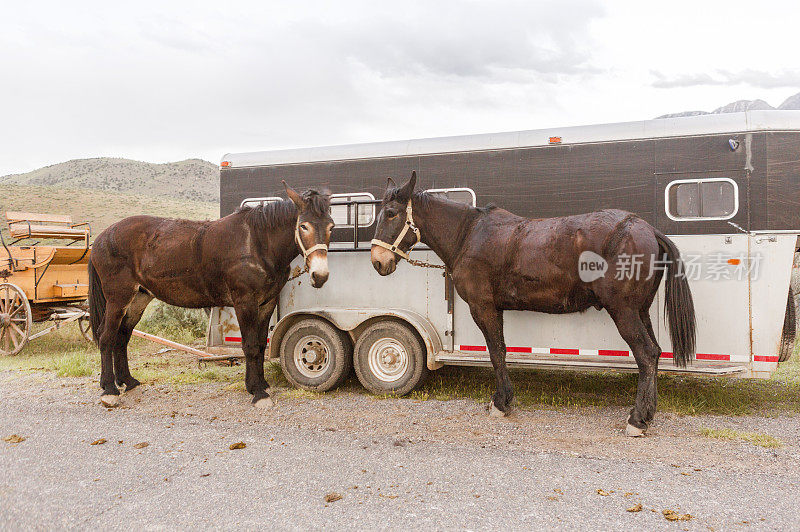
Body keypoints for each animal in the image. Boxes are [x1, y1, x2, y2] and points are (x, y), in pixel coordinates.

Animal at [89, 183, 332, 408]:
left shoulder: (266, 303)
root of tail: (101, 238)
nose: (320, 275)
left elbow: (261, 345)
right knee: (106, 337)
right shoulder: (245, 303)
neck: (256, 243)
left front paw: (260, 384)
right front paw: (258, 393)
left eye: (331, 226)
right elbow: (251, 345)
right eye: (303, 226)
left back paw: (127, 381)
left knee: (122, 337)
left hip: (138, 298)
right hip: (117, 298)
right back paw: (109, 390)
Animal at [374, 172, 692, 434]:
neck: (468, 234)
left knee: (646, 354)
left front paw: (501, 403)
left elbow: (497, 352)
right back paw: (647, 413)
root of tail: (645, 229)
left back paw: (637, 420)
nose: (378, 261)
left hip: (624, 311)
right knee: (655, 352)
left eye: (391, 213)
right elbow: (501, 350)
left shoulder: (483, 307)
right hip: (640, 310)